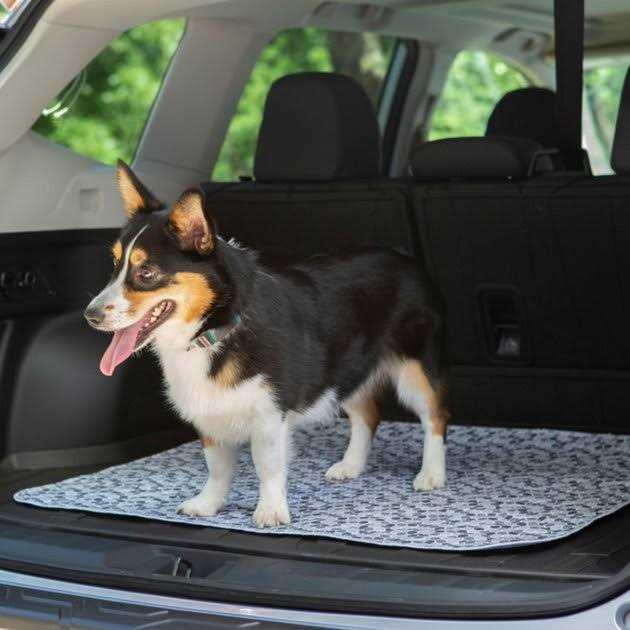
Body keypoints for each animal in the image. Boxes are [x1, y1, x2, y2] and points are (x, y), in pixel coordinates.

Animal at [84, 161, 450, 527]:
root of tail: (402, 256)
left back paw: (432, 474)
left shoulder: (269, 416)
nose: (90, 316)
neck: (217, 327)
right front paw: (209, 504)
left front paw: (271, 510)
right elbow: (217, 468)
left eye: (146, 272)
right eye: (115, 265)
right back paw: (351, 465)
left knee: (435, 415)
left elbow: (267, 468)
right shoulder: (210, 415)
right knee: (367, 415)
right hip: (344, 372)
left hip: (413, 371)